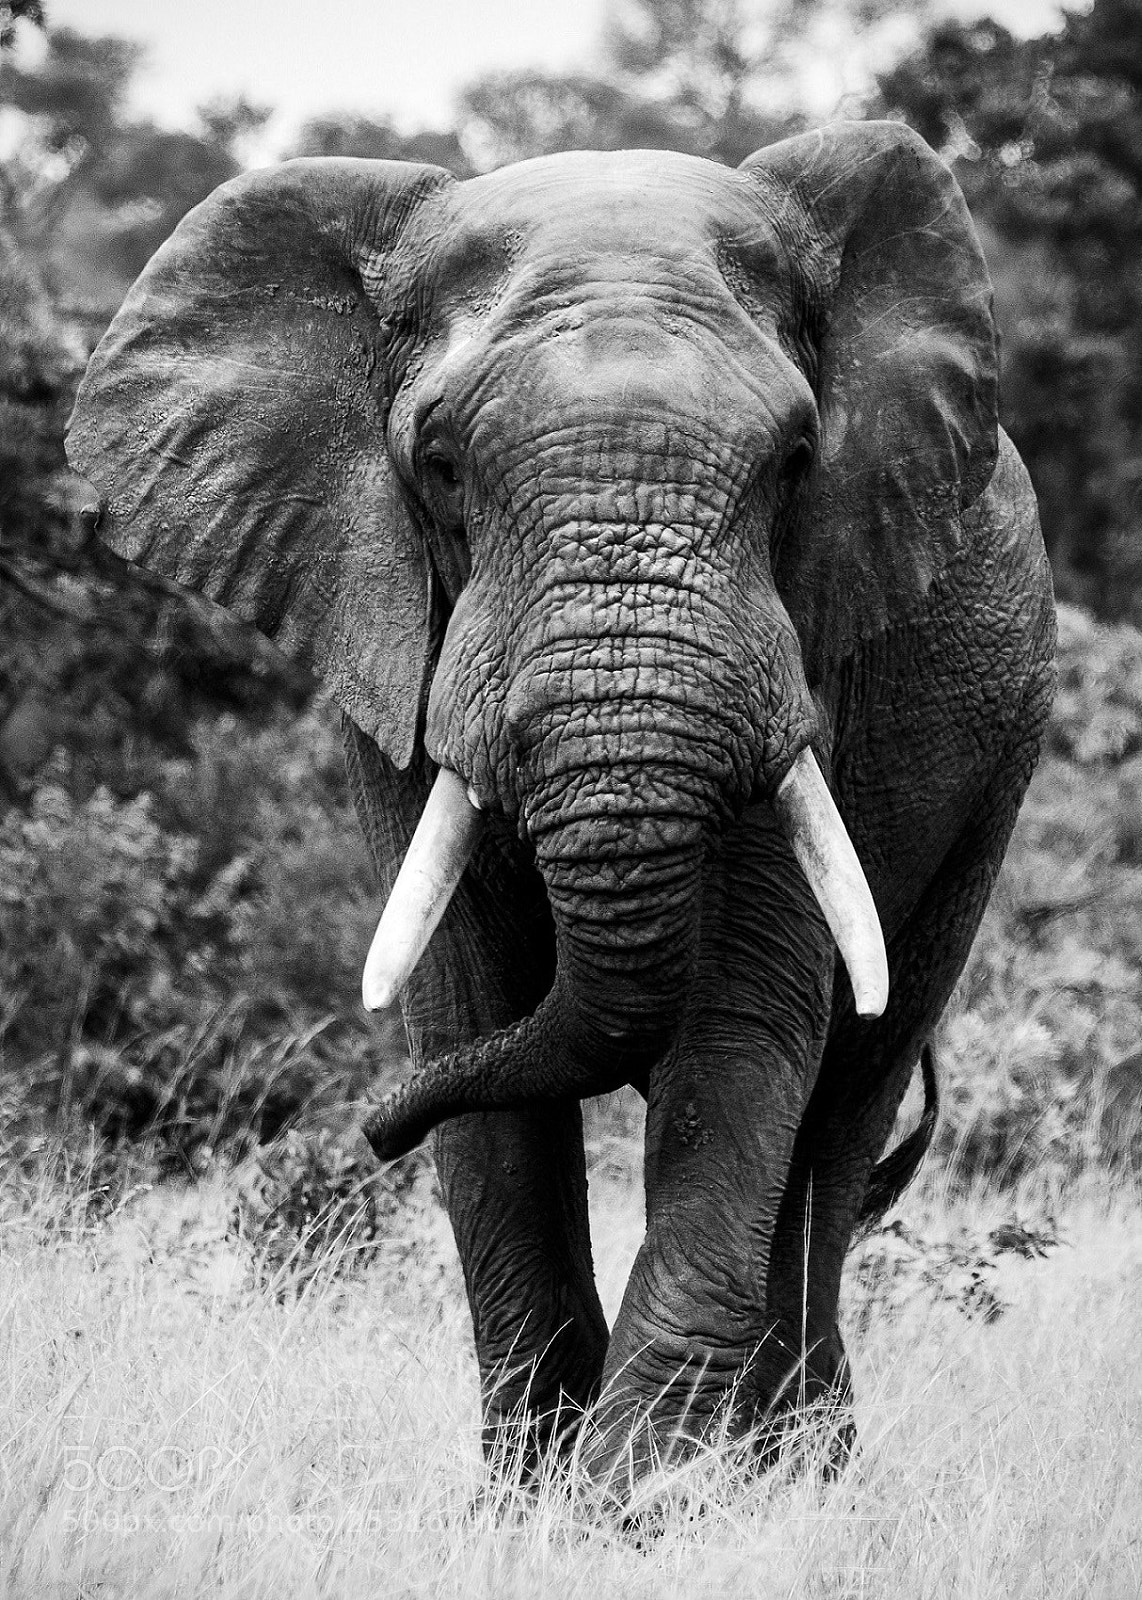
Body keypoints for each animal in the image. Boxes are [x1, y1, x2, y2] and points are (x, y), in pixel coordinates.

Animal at [67, 119, 1056, 1499]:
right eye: (438, 463)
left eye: (796, 463)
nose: (367, 1134)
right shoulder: (394, 647)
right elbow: (469, 1018)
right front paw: (527, 1501)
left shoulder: (812, 650)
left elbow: (738, 1031)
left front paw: (628, 1504)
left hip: (996, 764)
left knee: (845, 1098)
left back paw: (796, 1472)